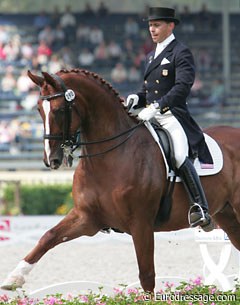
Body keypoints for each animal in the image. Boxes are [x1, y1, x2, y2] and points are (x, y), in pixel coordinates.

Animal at [1, 69, 240, 292]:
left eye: (60, 110)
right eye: (39, 110)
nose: (51, 159)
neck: (110, 157)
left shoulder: (141, 223)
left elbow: (147, 276)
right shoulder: (87, 218)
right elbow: (48, 236)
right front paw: (14, 278)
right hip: (226, 215)